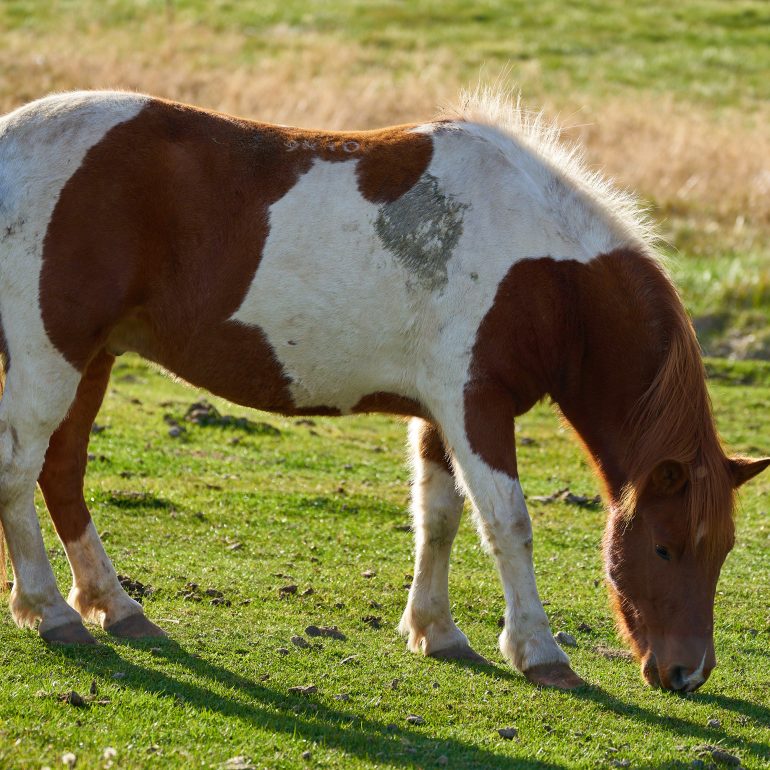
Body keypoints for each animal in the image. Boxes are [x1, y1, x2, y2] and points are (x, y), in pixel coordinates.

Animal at [0, 89, 766, 692]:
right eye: (665, 548)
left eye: (723, 550)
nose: (688, 673)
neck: (546, 275)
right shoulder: (475, 405)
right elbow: (507, 524)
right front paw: (539, 652)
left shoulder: (439, 415)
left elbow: (439, 516)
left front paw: (435, 630)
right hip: (50, 358)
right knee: (19, 471)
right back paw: (52, 612)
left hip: (92, 360)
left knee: (61, 474)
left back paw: (114, 607)